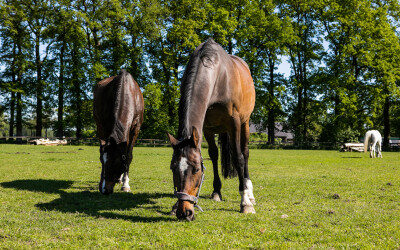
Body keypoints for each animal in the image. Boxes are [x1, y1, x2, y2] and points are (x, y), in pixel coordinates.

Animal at [166, 37, 256, 221]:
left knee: (245, 153)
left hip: (245, 123)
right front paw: (215, 191)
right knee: (216, 155)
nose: (184, 212)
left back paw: (249, 192)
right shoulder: (206, 127)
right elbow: (213, 155)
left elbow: (238, 158)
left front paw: (245, 203)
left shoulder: (235, 122)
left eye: (196, 170)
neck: (219, 77)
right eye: (173, 168)